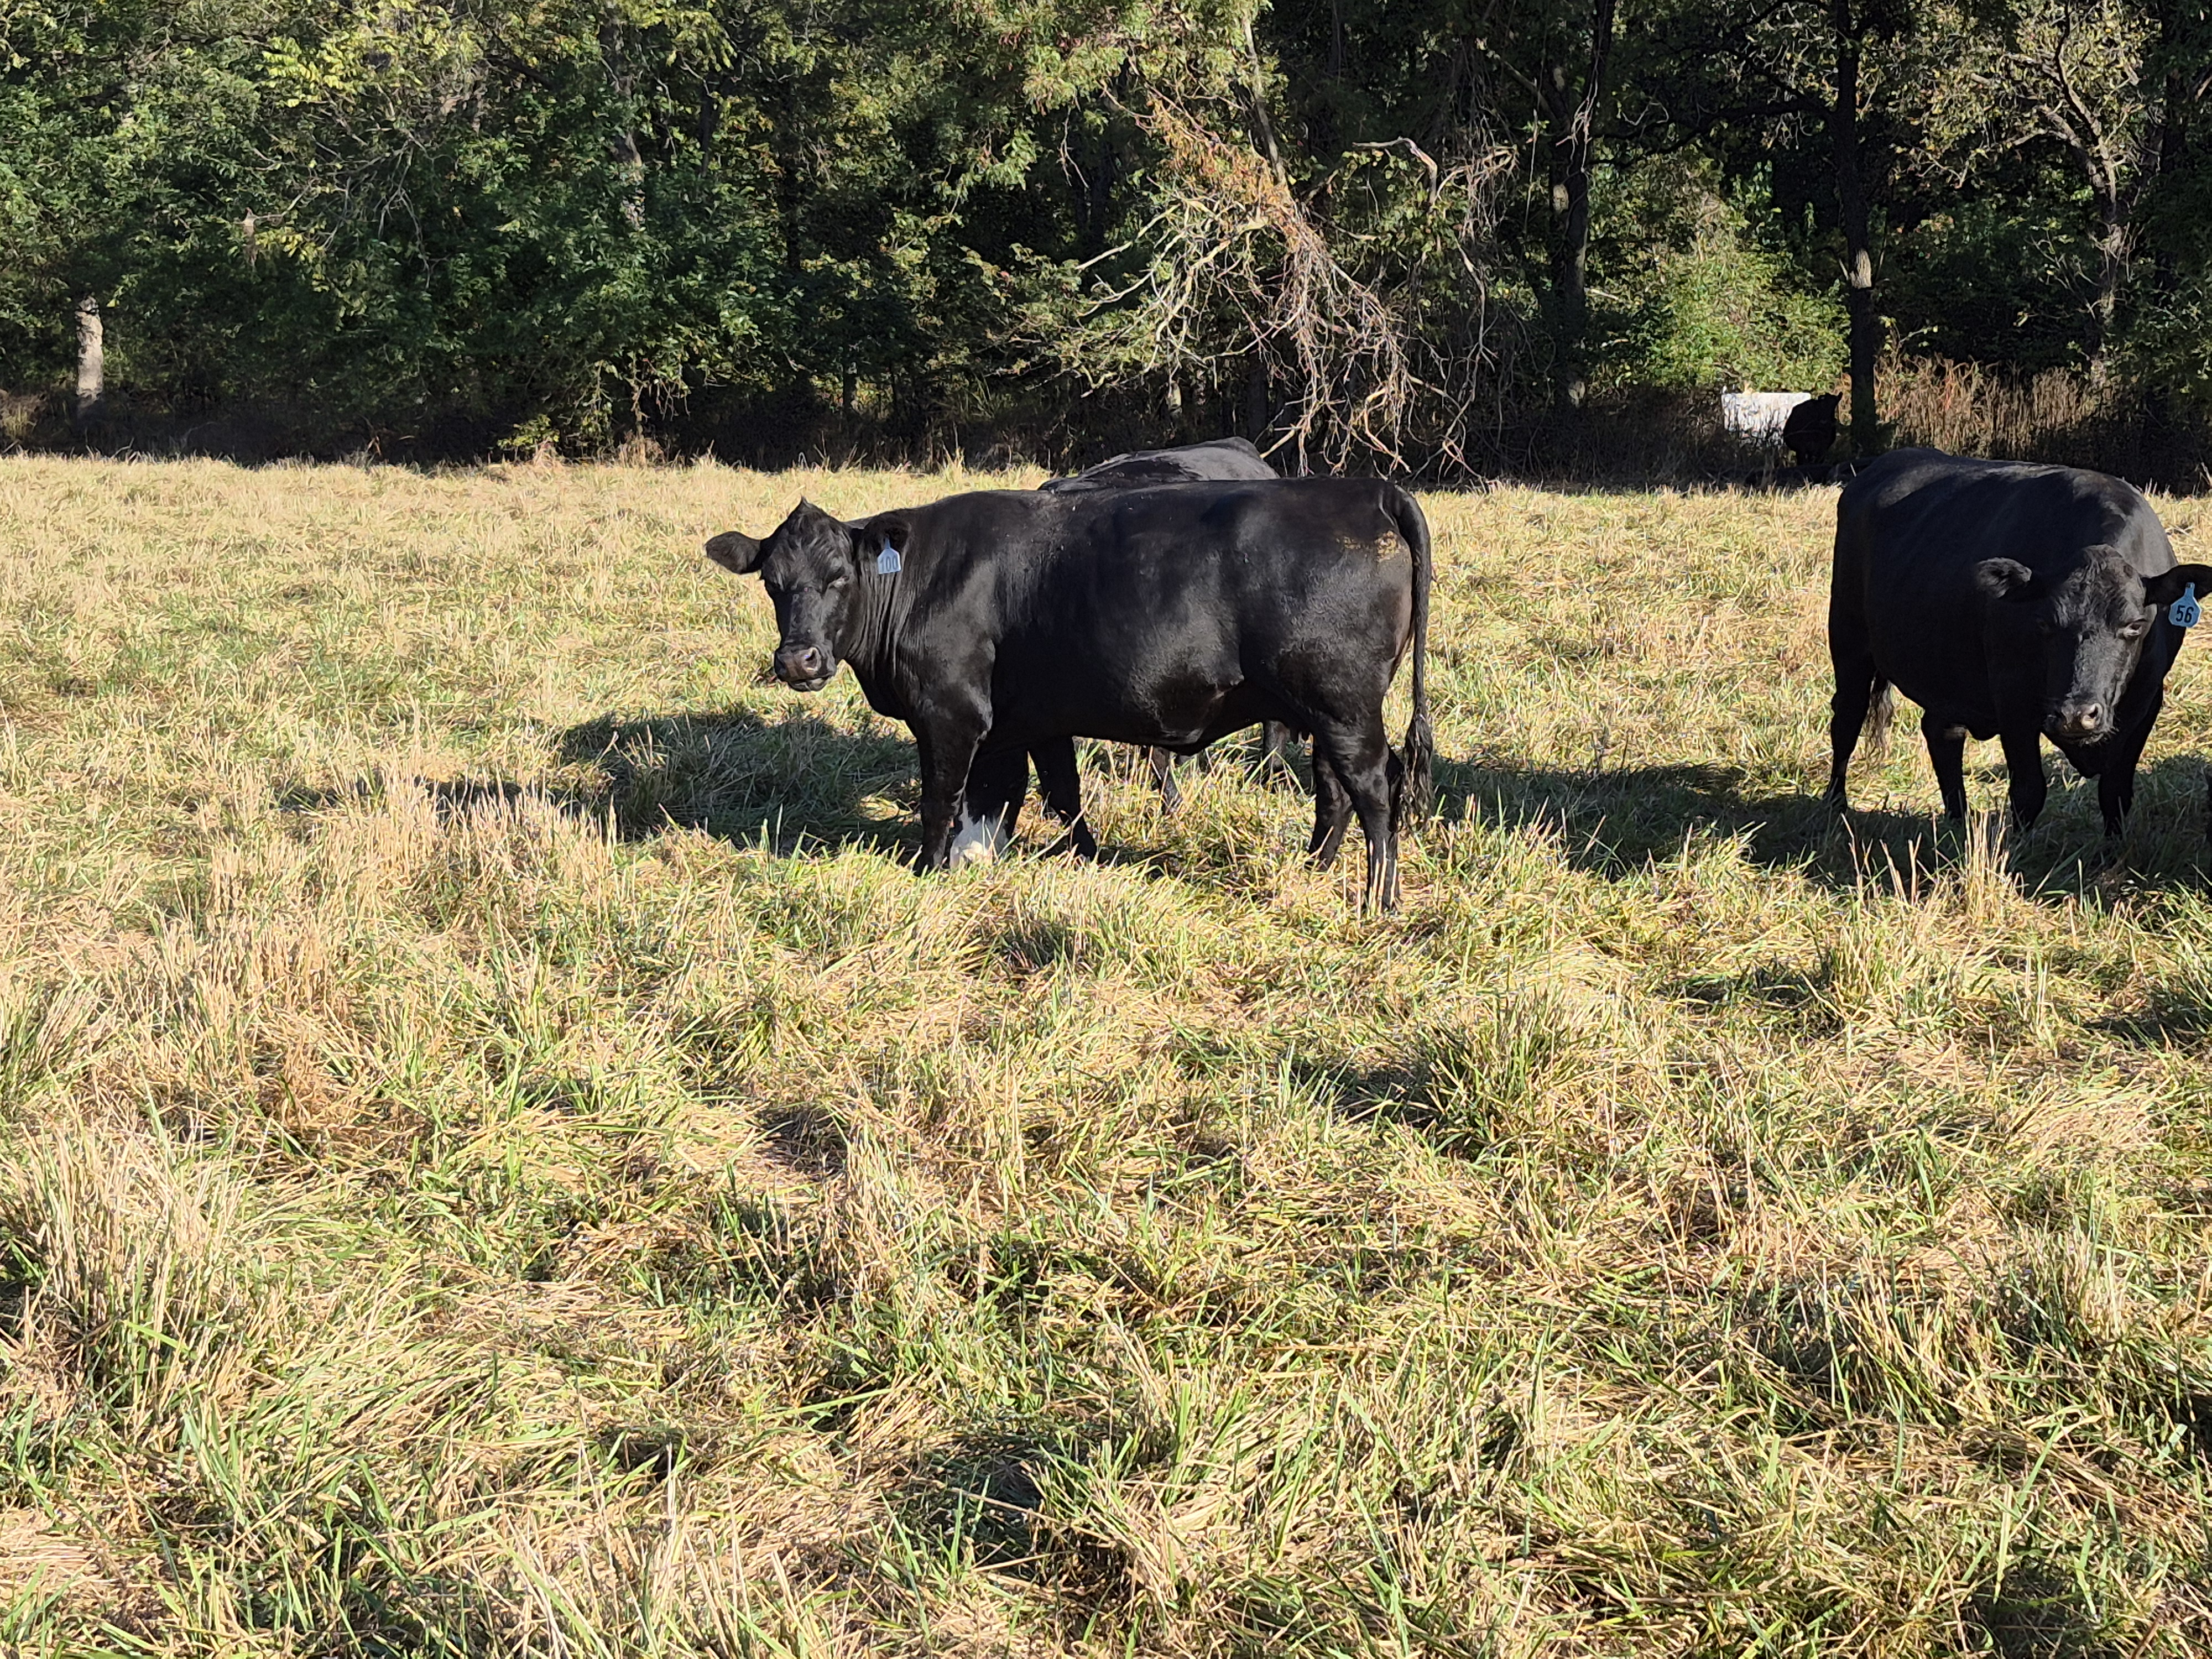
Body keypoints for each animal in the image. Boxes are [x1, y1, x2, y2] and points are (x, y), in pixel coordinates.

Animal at [705, 479, 1434, 908]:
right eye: (772, 582)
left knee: (1375, 788)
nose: (797, 660)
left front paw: (930, 872)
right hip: (1322, 709)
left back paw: (1379, 898)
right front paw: (1046, 860)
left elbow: (944, 799)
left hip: (1343, 704)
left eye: (838, 576)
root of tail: (1367, 489)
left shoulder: (950, 713)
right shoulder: (1025, 721)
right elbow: (1038, 793)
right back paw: (1313, 871)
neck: (920, 579)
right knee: (1333, 790)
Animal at [1826, 447, 2211, 835]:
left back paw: (1958, 822)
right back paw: (1835, 807)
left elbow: (2115, 792)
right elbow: (2028, 791)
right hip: (1849, 641)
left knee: (1942, 734)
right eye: (2044, 622)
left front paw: (2114, 847)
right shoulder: (2013, 697)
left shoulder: (2147, 703)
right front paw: (2020, 847)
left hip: (1947, 671)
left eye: (2134, 625)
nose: (2076, 715)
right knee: (1846, 720)